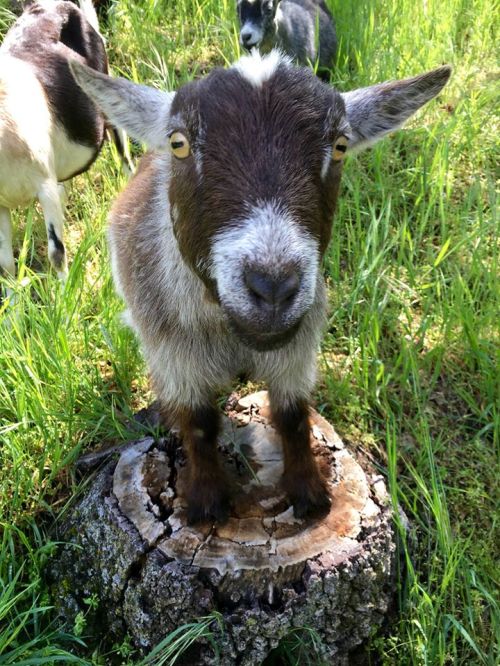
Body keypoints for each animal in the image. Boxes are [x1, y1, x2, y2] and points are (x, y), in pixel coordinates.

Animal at [70, 50, 451, 523]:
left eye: (341, 146)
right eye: (179, 143)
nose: (272, 286)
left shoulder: (298, 346)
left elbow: (292, 415)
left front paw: (310, 493)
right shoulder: (172, 352)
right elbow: (199, 421)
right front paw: (207, 502)